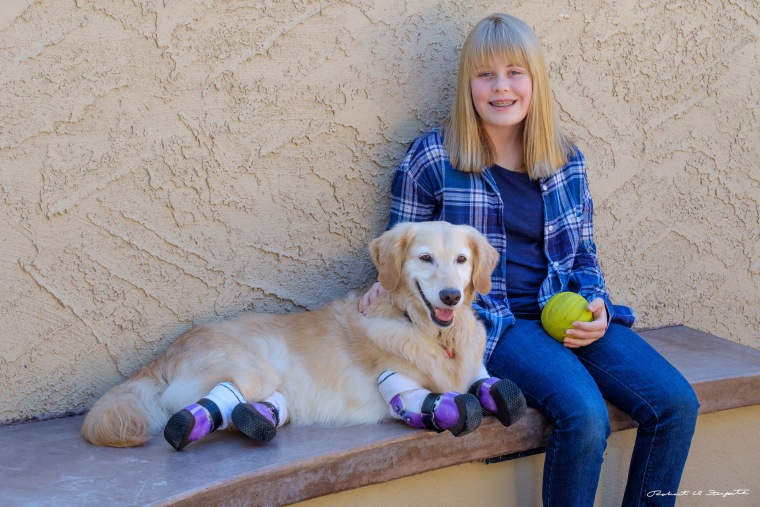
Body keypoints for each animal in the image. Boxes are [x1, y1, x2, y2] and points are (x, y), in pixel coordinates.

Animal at [80, 221, 524, 448]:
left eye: (461, 259)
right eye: (426, 258)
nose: (450, 295)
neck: (429, 332)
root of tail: (165, 354)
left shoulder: (474, 368)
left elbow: (484, 382)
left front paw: (499, 393)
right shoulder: (401, 387)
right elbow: (442, 400)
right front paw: (456, 406)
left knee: (253, 410)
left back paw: (254, 420)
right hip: (254, 369)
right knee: (221, 400)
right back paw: (193, 424)